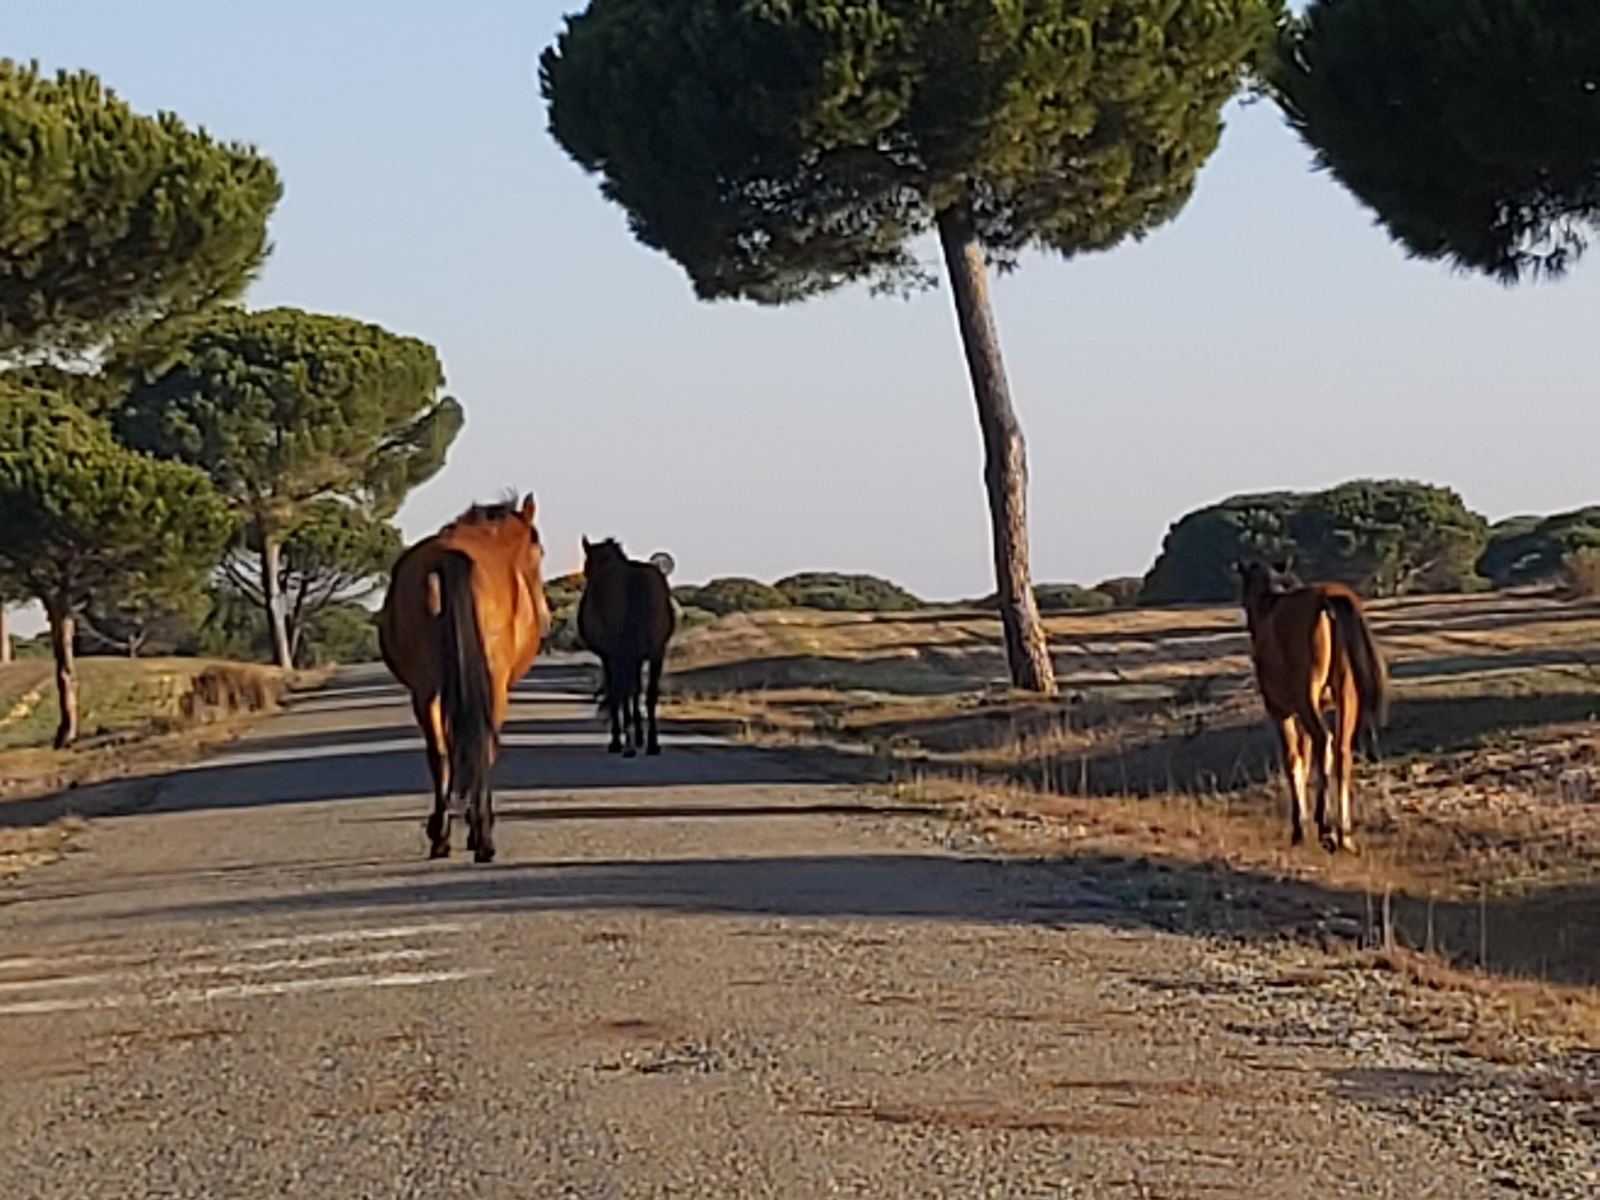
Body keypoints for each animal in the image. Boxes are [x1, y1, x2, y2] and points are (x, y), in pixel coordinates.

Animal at [378, 496, 550, 862]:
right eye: (538, 552)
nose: (545, 619)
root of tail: (449, 559)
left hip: (426, 688)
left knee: (440, 753)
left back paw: (441, 836)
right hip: (492, 687)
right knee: (482, 747)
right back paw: (481, 838)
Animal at [576, 537, 675, 757]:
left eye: (587, 566)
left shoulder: (611, 656)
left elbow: (619, 692)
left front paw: (621, 739)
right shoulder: (633, 656)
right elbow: (634, 691)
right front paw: (636, 737)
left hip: (623, 655)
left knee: (622, 692)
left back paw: (626, 742)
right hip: (655, 652)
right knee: (648, 693)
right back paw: (651, 743)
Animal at [1237, 560, 1388, 853]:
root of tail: (1329, 599)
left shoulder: (1281, 711)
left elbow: (1293, 759)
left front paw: (1298, 828)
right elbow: (1305, 759)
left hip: (1306, 698)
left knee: (1323, 740)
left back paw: (1325, 827)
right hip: (1346, 697)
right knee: (1341, 751)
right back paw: (1344, 835)